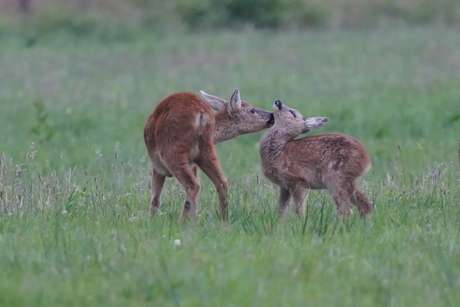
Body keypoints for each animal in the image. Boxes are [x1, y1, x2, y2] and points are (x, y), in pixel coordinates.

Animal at [144, 89, 274, 224]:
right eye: (252, 110)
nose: (272, 116)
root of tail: (201, 114)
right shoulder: (192, 165)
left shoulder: (157, 166)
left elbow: (155, 199)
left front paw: (151, 220)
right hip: (205, 151)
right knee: (221, 182)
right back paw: (221, 219)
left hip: (172, 151)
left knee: (193, 185)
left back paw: (186, 222)